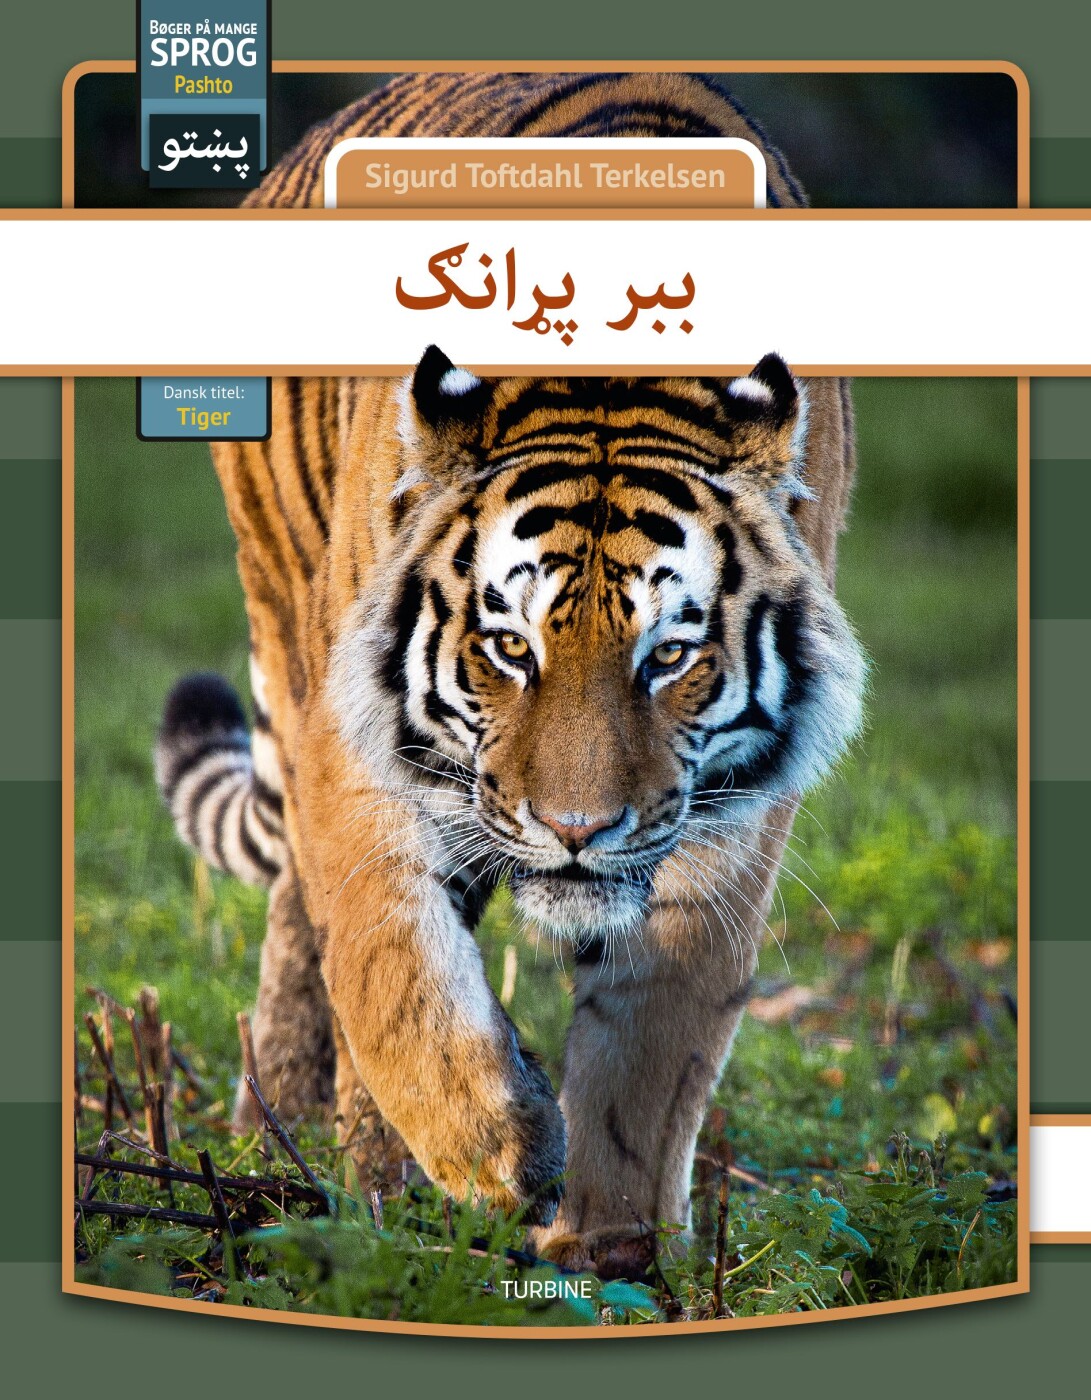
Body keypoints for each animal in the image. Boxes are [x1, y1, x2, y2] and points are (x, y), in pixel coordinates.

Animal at [153, 71, 865, 1278]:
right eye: (509, 647)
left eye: (668, 655)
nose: (575, 830)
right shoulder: (359, 755)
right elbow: (391, 969)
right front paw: (498, 1151)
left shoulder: (726, 818)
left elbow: (655, 1038)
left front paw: (612, 1246)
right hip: (288, 627)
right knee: (314, 921)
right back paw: (329, 1160)